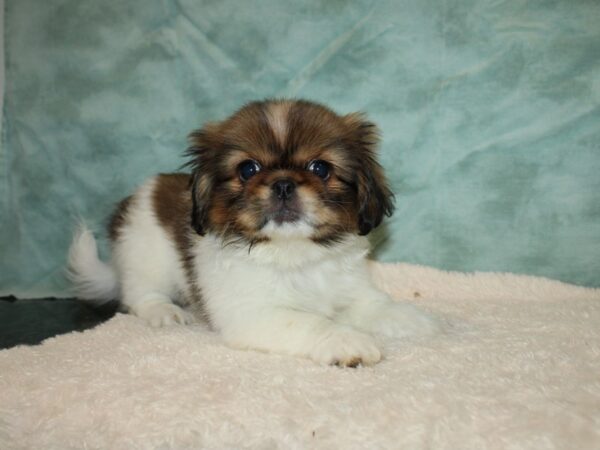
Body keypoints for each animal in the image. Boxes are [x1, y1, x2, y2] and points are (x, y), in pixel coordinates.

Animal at [68, 98, 438, 366]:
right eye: (248, 169)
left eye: (320, 168)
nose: (284, 184)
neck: (294, 253)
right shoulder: (254, 313)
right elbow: (310, 322)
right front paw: (346, 340)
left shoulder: (349, 289)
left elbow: (375, 306)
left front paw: (412, 319)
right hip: (145, 255)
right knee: (139, 295)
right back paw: (164, 311)